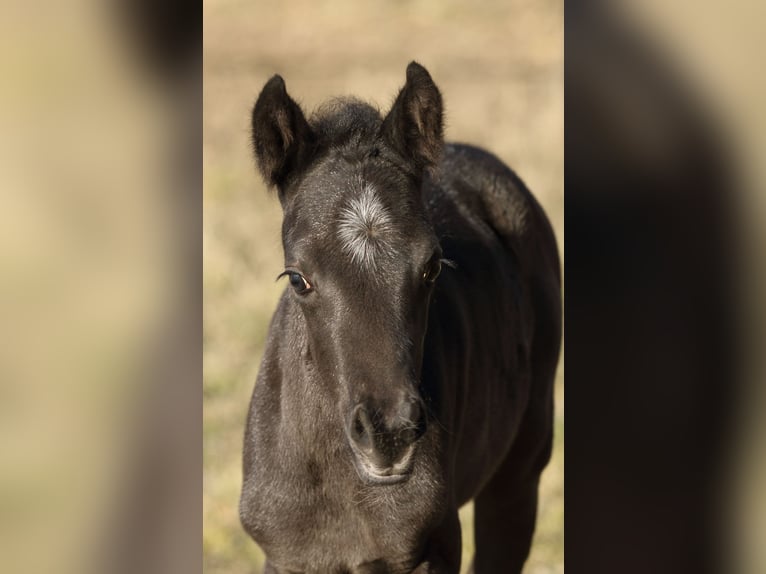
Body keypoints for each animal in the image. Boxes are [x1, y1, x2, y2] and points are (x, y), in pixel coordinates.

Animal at [240, 60, 564, 572]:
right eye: (297, 278)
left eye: (432, 266)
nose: (388, 435)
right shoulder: (288, 556)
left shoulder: (432, 546)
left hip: (519, 475)